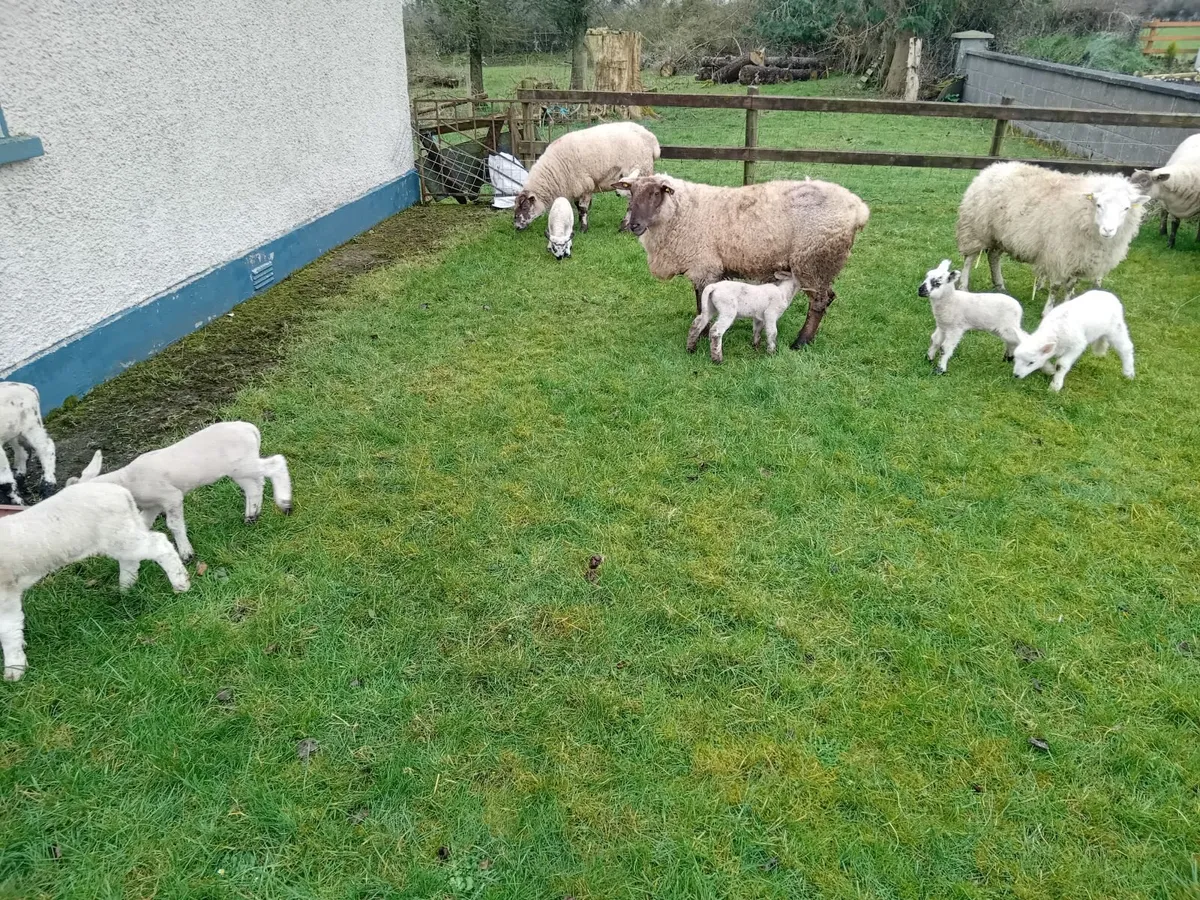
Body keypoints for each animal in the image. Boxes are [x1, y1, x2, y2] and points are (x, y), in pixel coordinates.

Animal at [0, 482, 191, 680]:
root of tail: (121, 492)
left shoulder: (5, 595)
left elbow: (7, 630)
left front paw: (14, 669)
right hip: (123, 533)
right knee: (131, 559)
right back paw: (126, 588)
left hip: (120, 535)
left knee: (160, 545)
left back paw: (180, 582)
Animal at [67, 421, 292, 562]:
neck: (127, 480)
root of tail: (250, 429)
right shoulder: (152, 505)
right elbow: (143, 525)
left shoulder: (170, 496)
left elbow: (174, 524)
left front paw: (186, 554)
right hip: (240, 469)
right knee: (255, 485)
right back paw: (252, 515)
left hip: (243, 464)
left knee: (276, 464)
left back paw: (284, 503)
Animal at [513, 122, 660, 234]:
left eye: (525, 207)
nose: (516, 226)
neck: (555, 170)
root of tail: (651, 138)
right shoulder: (576, 187)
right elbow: (578, 206)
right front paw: (578, 223)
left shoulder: (585, 185)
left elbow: (583, 208)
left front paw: (583, 228)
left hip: (640, 172)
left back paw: (625, 227)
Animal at [616, 173, 870, 347]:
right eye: (632, 193)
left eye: (655, 193)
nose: (634, 225)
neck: (681, 212)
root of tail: (858, 208)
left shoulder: (704, 265)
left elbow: (701, 302)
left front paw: (703, 332)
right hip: (822, 264)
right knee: (828, 297)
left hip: (813, 260)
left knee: (818, 302)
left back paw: (801, 342)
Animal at [956, 161, 1147, 317]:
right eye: (1099, 205)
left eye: (1126, 208)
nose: (1108, 230)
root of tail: (995, 167)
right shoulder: (1058, 255)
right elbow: (1055, 286)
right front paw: (1047, 311)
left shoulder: (1078, 259)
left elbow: (1070, 286)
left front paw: (1068, 306)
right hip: (976, 228)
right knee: (970, 258)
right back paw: (964, 286)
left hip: (1000, 235)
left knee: (993, 257)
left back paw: (1000, 285)